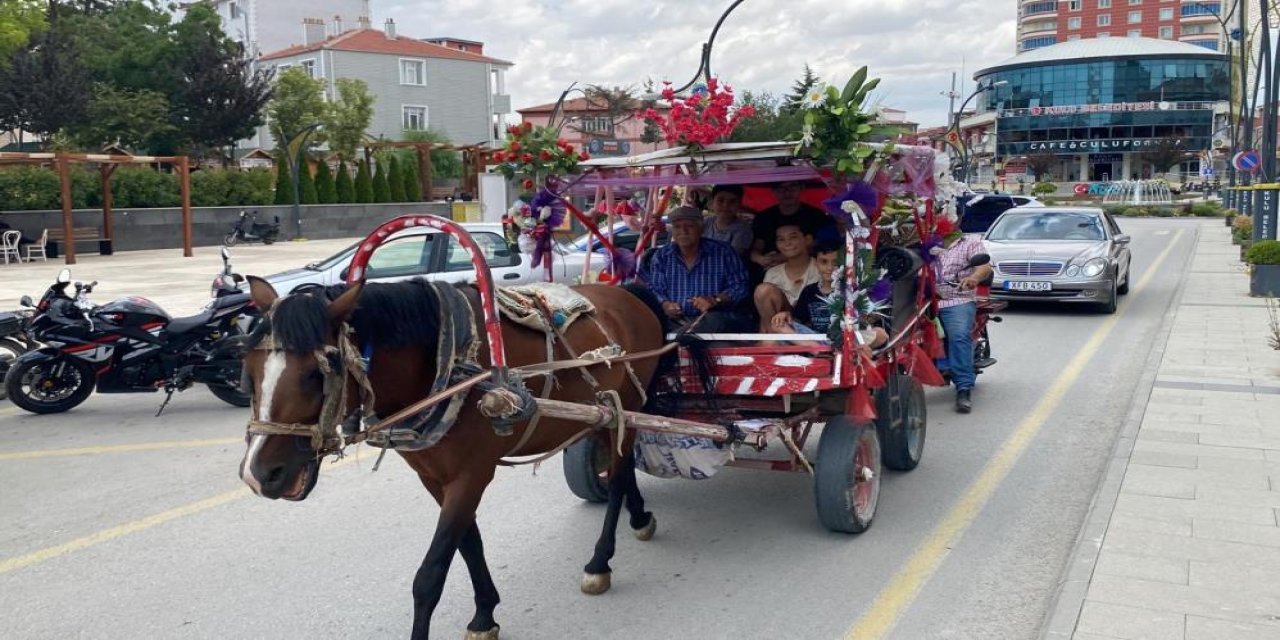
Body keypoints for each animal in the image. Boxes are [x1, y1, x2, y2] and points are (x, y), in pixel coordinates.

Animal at [238, 276, 670, 640]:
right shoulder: (434, 477)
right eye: (250, 371)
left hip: (630, 404)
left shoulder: (471, 474)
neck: (446, 366)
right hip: (604, 413)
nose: (260, 474)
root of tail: (628, 291)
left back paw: (600, 562)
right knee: (619, 464)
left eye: (316, 373)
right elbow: (469, 544)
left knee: (618, 476)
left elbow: (430, 575)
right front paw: (484, 615)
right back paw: (639, 517)